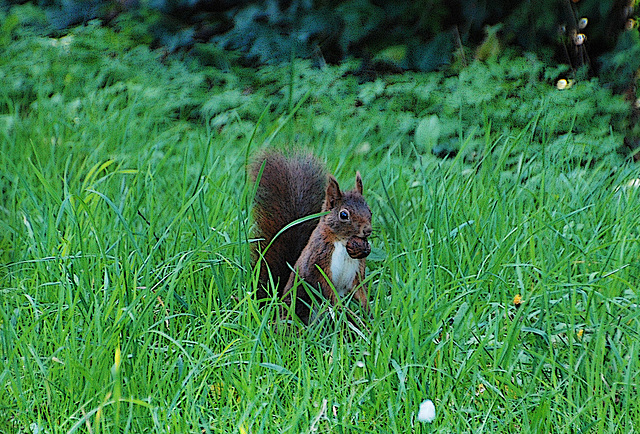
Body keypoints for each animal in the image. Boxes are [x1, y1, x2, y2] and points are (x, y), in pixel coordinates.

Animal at [249, 151, 372, 324]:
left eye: (370, 211)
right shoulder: (318, 259)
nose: (367, 230)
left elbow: (360, 290)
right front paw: (341, 307)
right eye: (344, 215)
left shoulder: (357, 271)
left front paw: (368, 312)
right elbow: (324, 285)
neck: (342, 242)